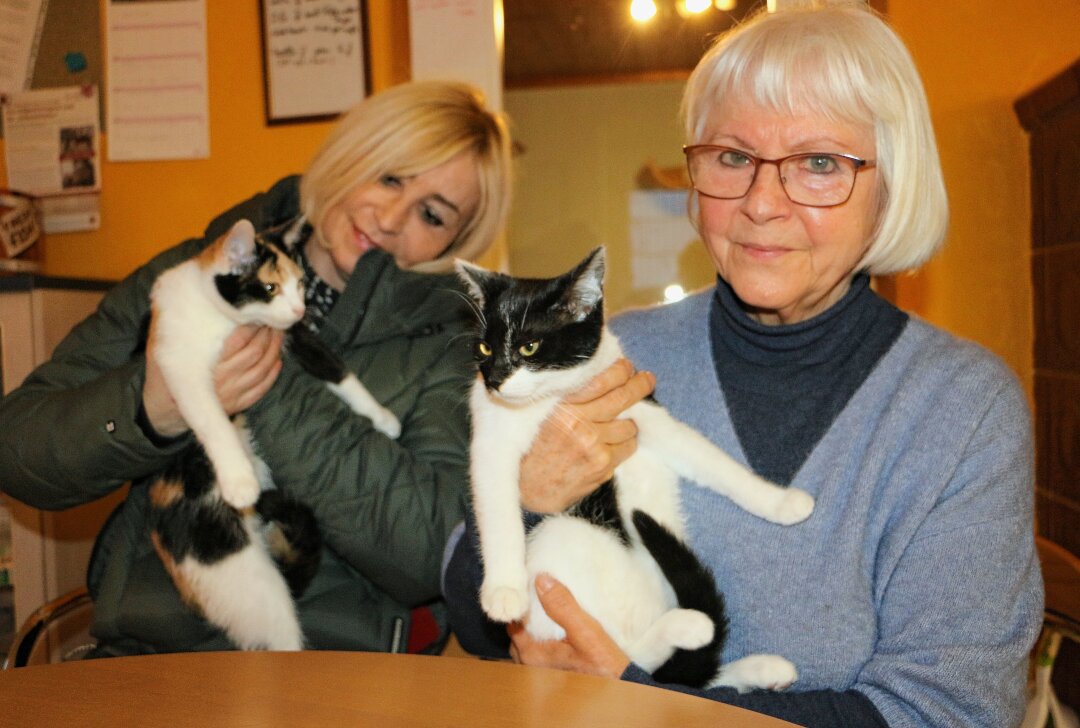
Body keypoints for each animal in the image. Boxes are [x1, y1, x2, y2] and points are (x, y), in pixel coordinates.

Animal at [143, 216, 397, 648]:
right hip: (232, 565)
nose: (299, 307)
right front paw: (239, 480)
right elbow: (211, 417)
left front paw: (382, 418)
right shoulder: (178, 363)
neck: (226, 319)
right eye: (269, 287)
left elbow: (339, 371)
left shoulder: (296, 336)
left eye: (300, 283)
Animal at [453, 246, 812, 686]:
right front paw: (504, 592)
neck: (555, 397)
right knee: (631, 659)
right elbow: (497, 511)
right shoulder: (491, 440)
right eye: (484, 350)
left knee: (675, 675)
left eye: (529, 347)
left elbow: (709, 457)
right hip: (564, 537)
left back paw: (758, 666)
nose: (495, 381)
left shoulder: (642, 409)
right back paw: (692, 627)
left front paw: (780, 503)